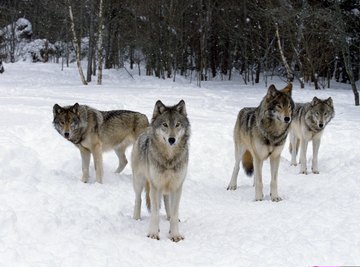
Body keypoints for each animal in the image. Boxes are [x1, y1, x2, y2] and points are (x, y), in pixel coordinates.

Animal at [131, 100, 190, 243]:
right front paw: (153, 233)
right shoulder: (155, 186)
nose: (172, 139)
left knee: (167, 201)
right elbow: (155, 213)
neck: (169, 159)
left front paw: (175, 235)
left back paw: (168, 218)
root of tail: (145, 130)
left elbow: (174, 213)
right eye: (165, 125)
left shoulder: (177, 186)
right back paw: (136, 218)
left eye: (177, 125)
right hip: (140, 181)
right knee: (139, 199)